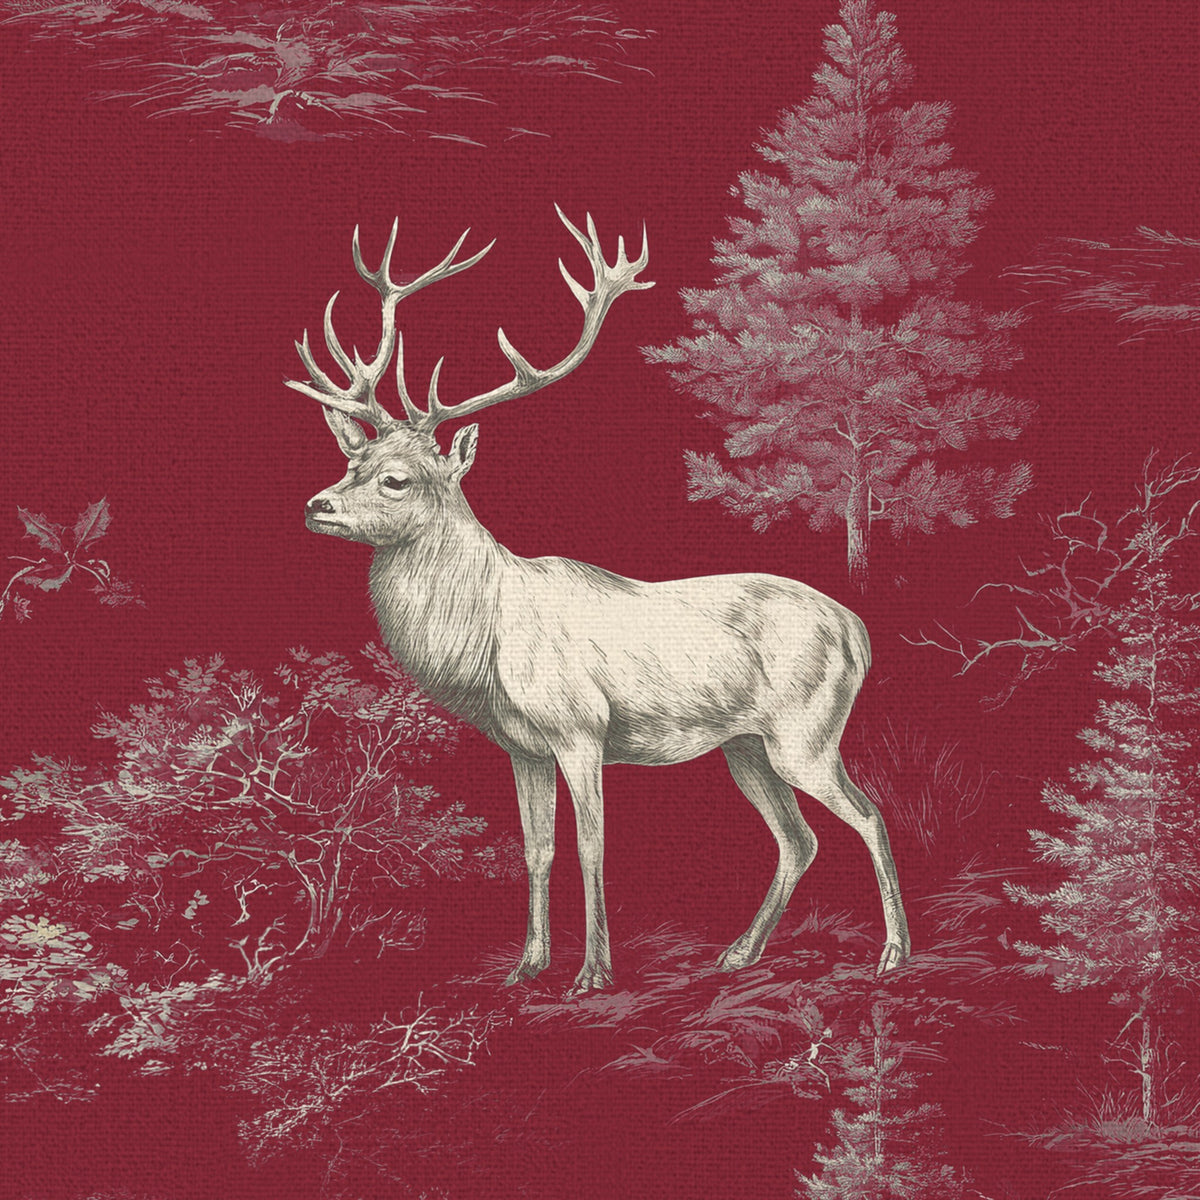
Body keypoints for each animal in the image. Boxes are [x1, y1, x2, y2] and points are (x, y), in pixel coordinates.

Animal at [290, 207, 911, 994]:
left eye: (397, 479)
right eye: (352, 460)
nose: (318, 505)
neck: (486, 641)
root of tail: (858, 630)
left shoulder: (581, 728)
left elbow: (592, 847)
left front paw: (593, 973)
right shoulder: (520, 746)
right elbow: (537, 850)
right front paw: (526, 965)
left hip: (807, 732)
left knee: (869, 814)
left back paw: (892, 953)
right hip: (746, 745)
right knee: (798, 839)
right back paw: (738, 952)